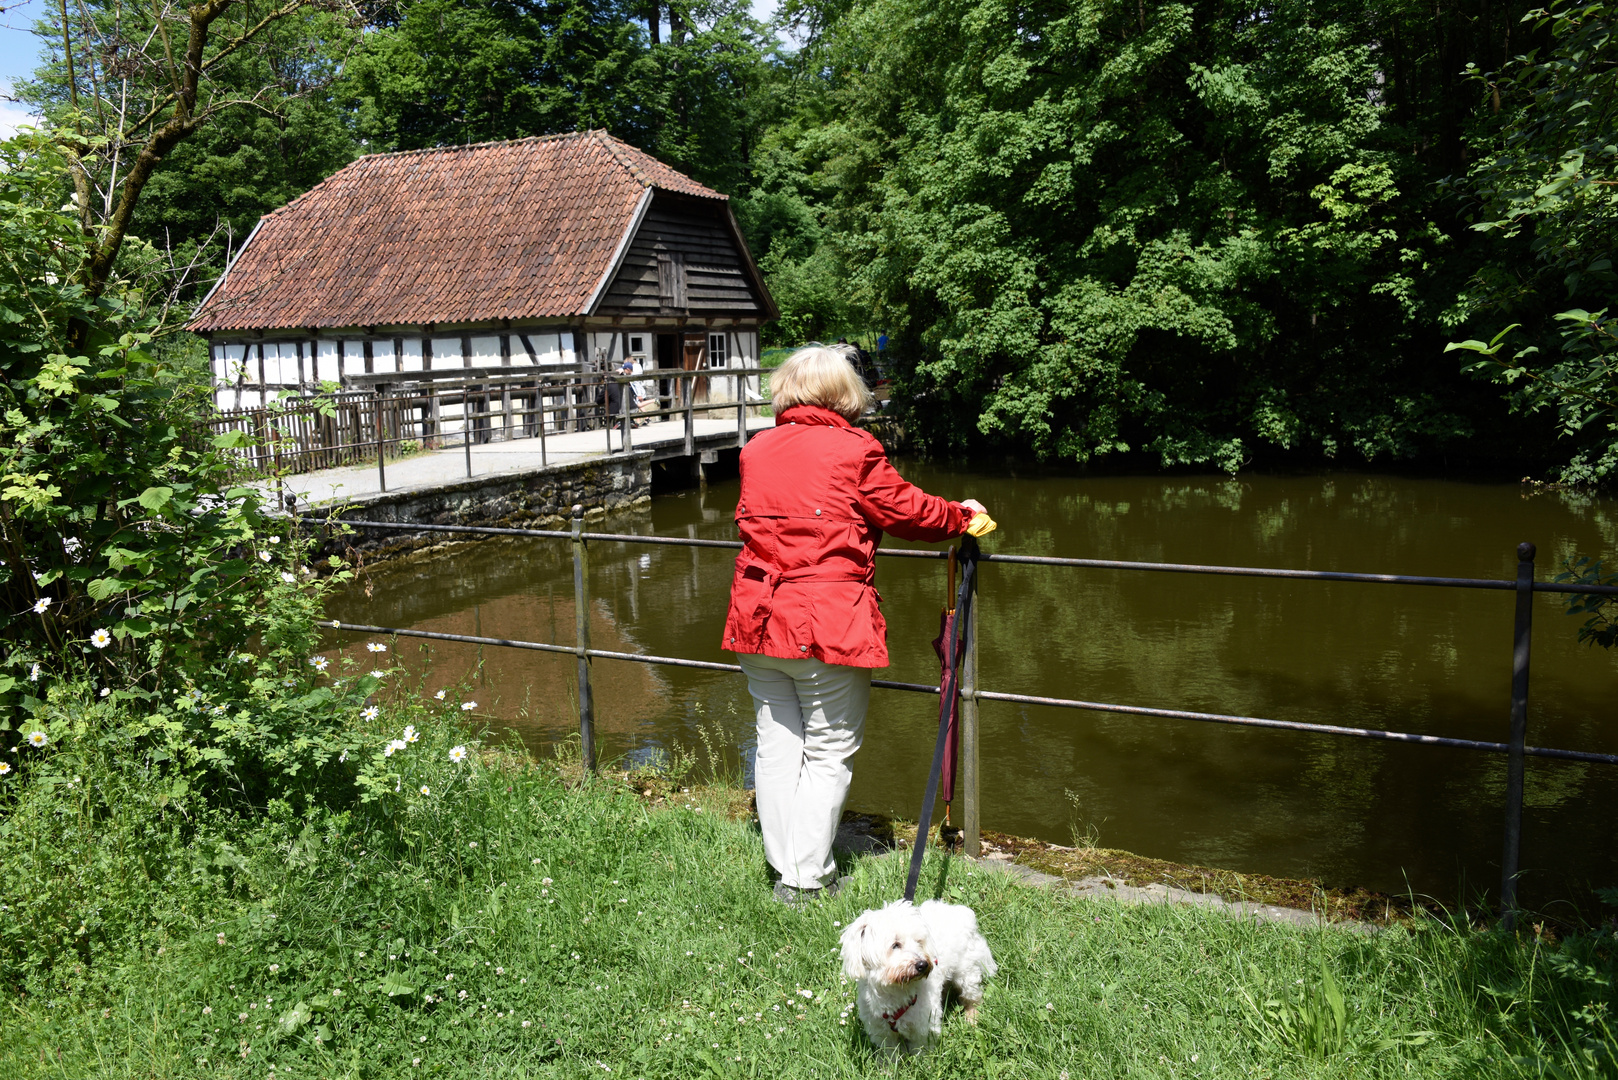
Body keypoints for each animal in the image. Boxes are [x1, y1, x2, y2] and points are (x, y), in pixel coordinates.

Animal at [841, 893, 990, 1055]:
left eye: (919, 942)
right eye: (895, 945)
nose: (922, 964)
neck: (895, 991)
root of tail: (962, 913)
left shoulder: (923, 1028)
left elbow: (921, 1050)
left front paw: (922, 1061)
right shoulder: (882, 1032)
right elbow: (891, 1053)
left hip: (966, 972)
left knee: (972, 996)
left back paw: (972, 1018)